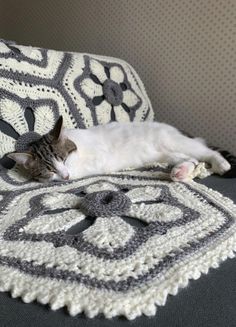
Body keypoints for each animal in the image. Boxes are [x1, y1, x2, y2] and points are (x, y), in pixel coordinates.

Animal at [6, 116, 230, 183]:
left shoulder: (98, 158)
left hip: (175, 142)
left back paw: (221, 164)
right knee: (189, 159)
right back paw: (181, 171)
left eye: (64, 158)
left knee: (206, 152)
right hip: (165, 153)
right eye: (48, 170)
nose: (65, 176)